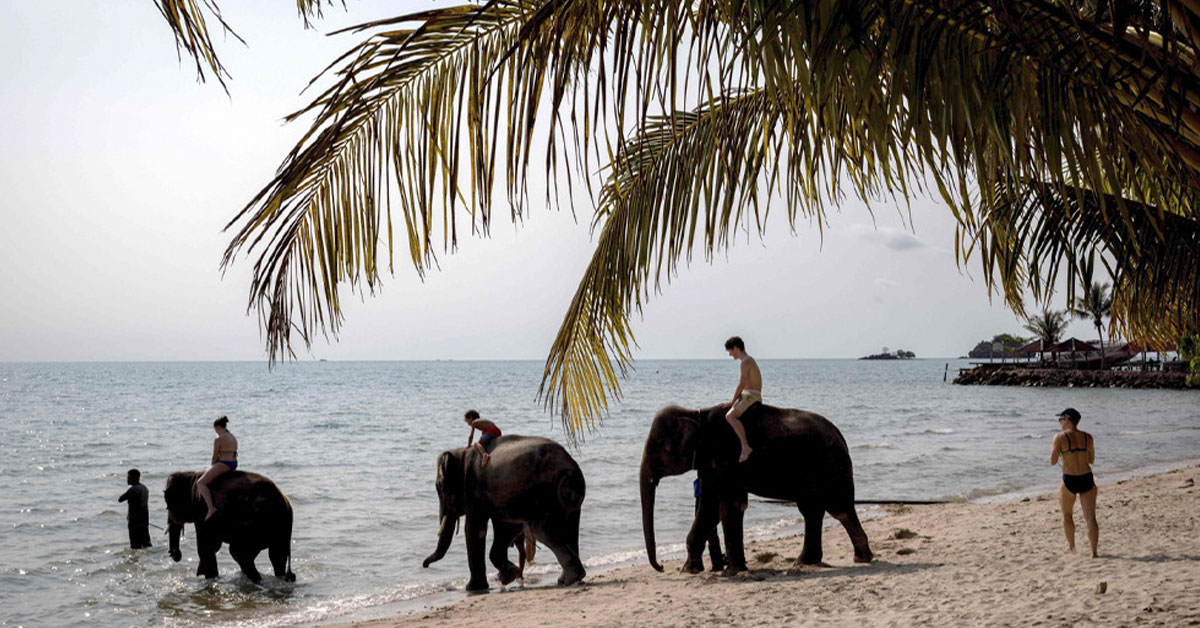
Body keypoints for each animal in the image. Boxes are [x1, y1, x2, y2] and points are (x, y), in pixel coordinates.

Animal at [162, 468, 295, 583]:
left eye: (168, 506)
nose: (176, 554)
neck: (191, 476)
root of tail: (286, 503)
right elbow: (213, 545)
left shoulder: (202, 512)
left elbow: (206, 546)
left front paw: (208, 577)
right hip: (280, 528)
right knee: (277, 556)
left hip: (255, 524)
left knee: (239, 553)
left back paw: (256, 580)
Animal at [424, 434, 588, 593]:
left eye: (439, 488)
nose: (425, 566)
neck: (462, 452)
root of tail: (570, 469)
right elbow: (506, 529)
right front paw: (509, 576)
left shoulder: (473, 490)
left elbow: (474, 529)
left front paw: (473, 588)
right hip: (567, 498)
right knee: (569, 528)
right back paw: (566, 580)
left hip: (544, 493)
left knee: (542, 530)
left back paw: (572, 579)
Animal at [638, 403, 873, 573]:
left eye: (655, 448)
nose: (661, 567)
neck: (696, 413)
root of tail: (841, 436)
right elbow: (727, 505)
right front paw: (733, 569)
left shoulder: (725, 459)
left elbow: (715, 507)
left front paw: (691, 570)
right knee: (811, 510)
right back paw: (806, 562)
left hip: (831, 468)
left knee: (839, 508)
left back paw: (861, 558)